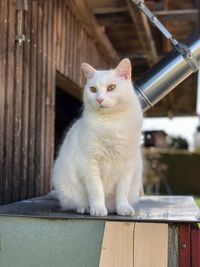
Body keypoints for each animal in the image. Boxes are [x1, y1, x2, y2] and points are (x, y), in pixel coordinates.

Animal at [51, 58, 142, 218]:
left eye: (111, 87)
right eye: (93, 89)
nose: (99, 99)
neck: (111, 122)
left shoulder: (127, 165)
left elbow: (122, 192)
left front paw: (123, 208)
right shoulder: (90, 163)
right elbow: (96, 190)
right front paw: (98, 209)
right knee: (74, 203)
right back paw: (85, 208)